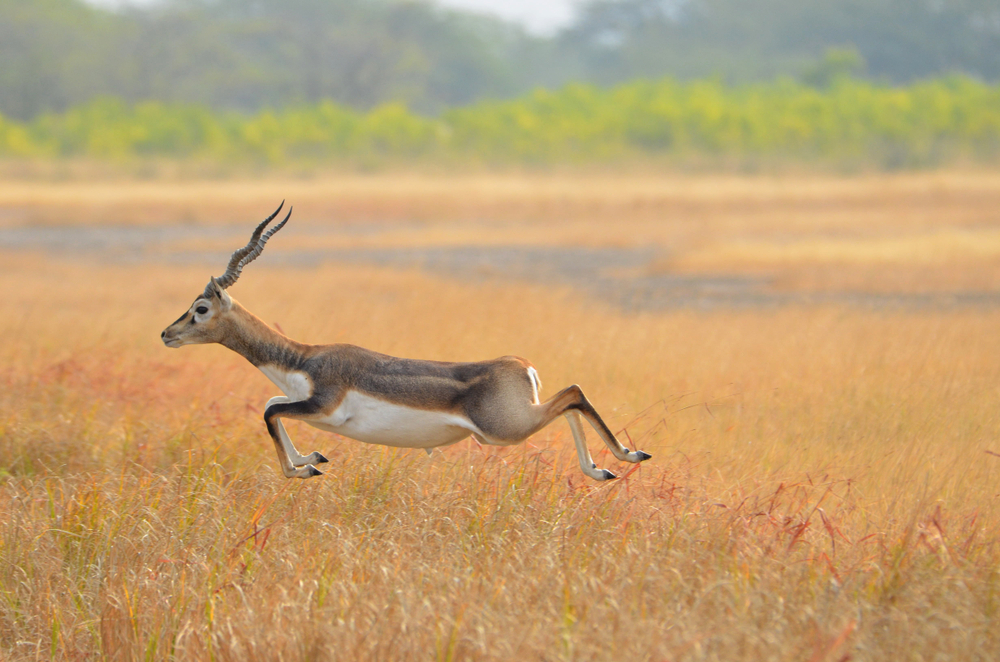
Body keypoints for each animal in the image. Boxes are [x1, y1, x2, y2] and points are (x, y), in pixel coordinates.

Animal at [160, 205, 652, 480]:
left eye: (200, 308)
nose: (167, 333)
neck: (303, 359)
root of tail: (522, 365)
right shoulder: (302, 403)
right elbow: (269, 406)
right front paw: (312, 459)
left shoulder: (323, 407)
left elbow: (271, 412)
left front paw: (299, 471)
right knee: (570, 401)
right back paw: (601, 470)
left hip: (503, 430)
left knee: (573, 393)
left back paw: (629, 454)